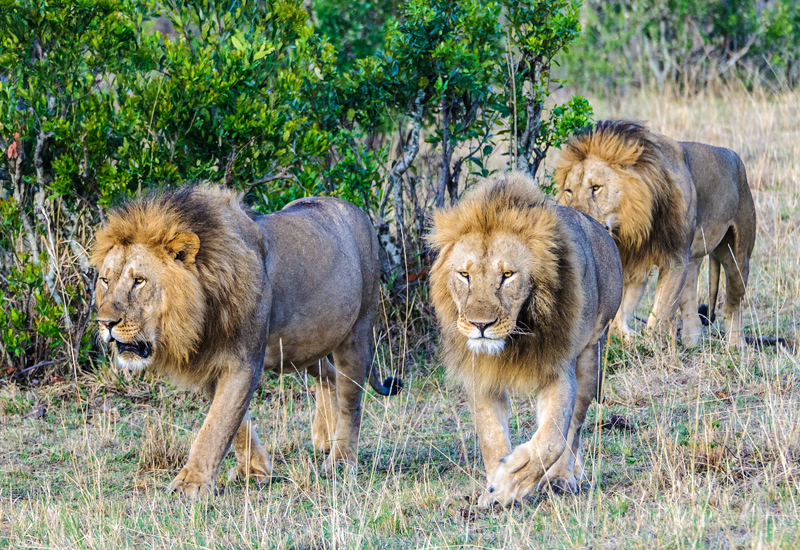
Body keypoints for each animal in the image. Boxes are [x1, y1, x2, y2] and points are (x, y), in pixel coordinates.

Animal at [91, 187, 400, 500]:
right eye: (105, 280)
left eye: (139, 281)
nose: (104, 323)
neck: (203, 306)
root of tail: (354, 208)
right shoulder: (210, 361)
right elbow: (236, 424)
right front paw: (255, 471)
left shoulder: (244, 361)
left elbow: (217, 425)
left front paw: (191, 484)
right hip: (306, 345)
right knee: (329, 376)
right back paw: (325, 437)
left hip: (358, 329)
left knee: (352, 398)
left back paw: (340, 459)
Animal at [428, 176, 620, 508]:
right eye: (464, 274)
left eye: (507, 275)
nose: (480, 325)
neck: (515, 338)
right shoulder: (482, 375)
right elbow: (491, 437)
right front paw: (495, 490)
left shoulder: (558, 369)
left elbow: (552, 439)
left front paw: (507, 485)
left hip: (591, 354)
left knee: (574, 427)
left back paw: (562, 478)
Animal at [556, 121, 756, 348]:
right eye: (569, 191)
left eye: (596, 187)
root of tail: (735, 158)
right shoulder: (634, 259)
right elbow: (620, 313)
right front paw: (626, 338)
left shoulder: (676, 257)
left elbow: (661, 312)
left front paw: (648, 345)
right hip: (693, 259)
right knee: (690, 300)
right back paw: (691, 342)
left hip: (737, 255)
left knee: (733, 304)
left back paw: (735, 344)